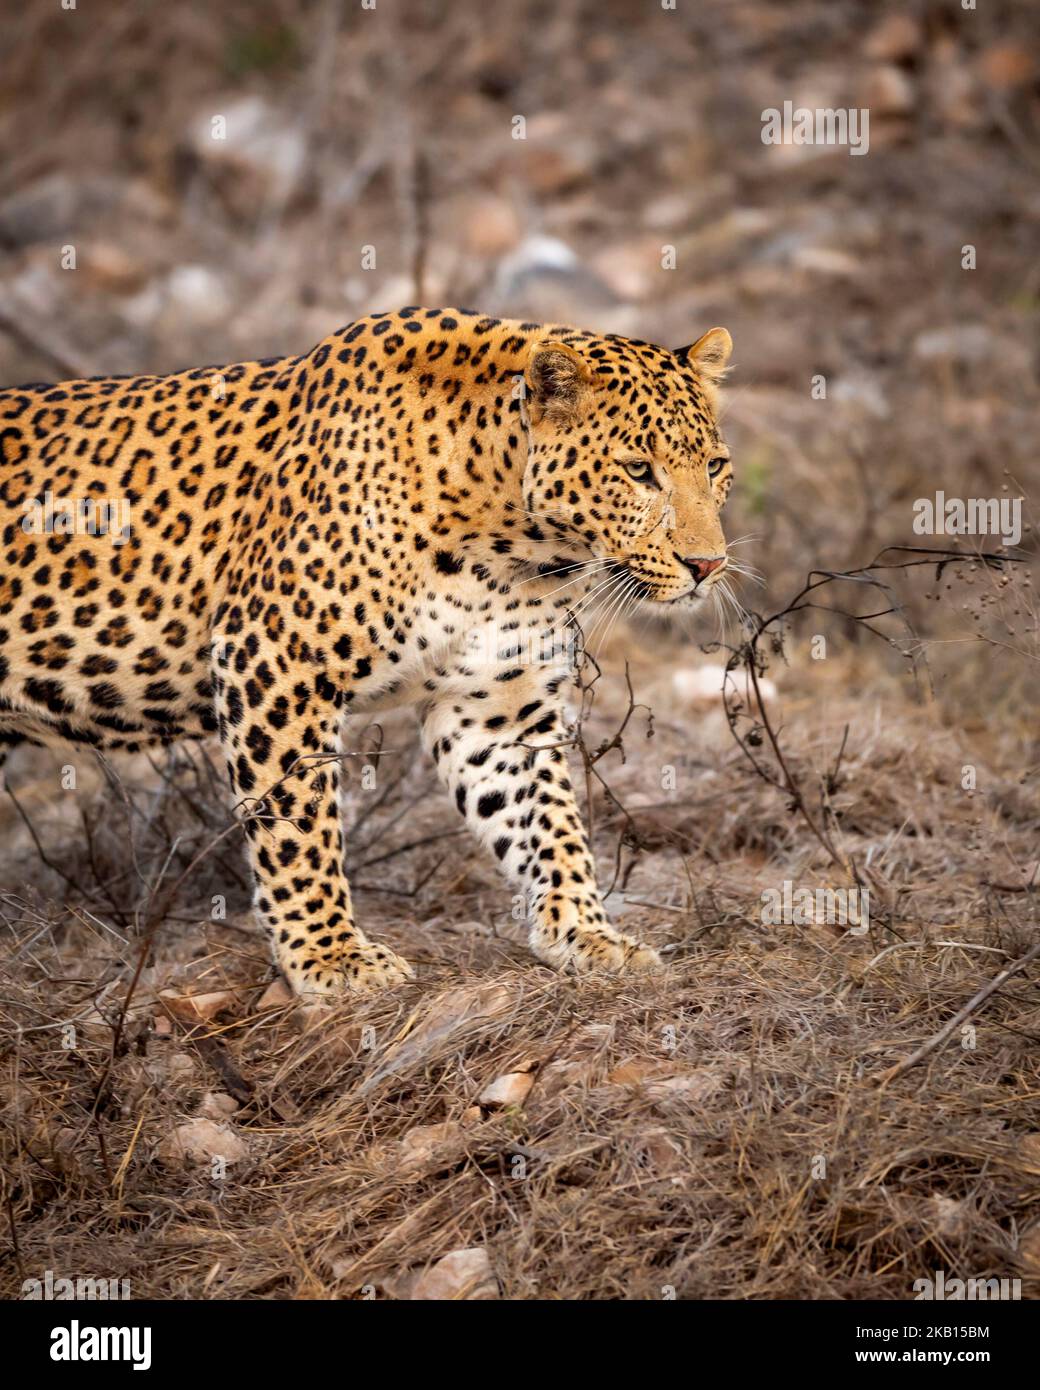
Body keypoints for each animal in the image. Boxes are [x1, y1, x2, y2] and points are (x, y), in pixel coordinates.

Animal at [0, 308, 734, 995]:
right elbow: (299, 825)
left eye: (715, 467)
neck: (511, 539)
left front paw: (585, 932)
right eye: (638, 471)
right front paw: (331, 957)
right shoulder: (274, 657)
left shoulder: (497, 704)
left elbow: (548, 820)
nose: (707, 565)